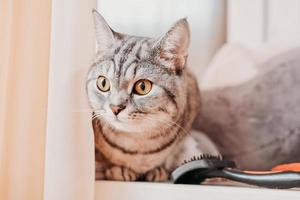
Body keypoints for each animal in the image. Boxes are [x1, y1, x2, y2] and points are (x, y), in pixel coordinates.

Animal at [86, 10, 218, 182]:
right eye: (103, 83)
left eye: (142, 87)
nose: (115, 108)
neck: (138, 147)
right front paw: (118, 169)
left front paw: (158, 170)